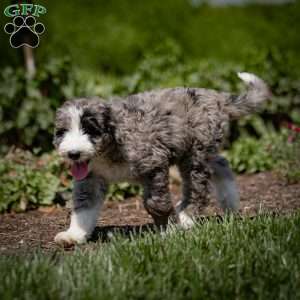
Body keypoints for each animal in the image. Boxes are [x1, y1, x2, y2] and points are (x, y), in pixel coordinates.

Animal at [53, 72, 270, 246]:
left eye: (91, 130)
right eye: (62, 132)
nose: (73, 153)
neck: (111, 145)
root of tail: (216, 97)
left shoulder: (154, 165)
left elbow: (156, 203)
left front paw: (169, 231)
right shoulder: (90, 179)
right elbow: (84, 206)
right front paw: (74, 235)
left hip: (194, 156)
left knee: (198, 188)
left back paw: (186, 217)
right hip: (204, 150)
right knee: (222, 165)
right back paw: (230, 205)